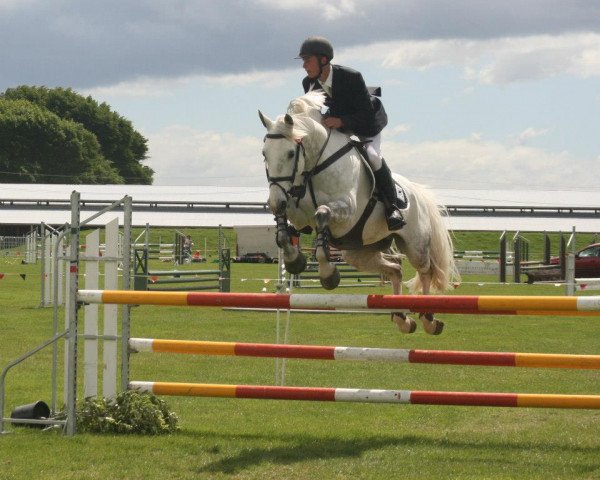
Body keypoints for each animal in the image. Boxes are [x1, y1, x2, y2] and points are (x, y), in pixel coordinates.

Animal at [258, 92, 460, 336]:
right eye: (264, 154)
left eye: (290, 153)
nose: (275, 200)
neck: (315, 167)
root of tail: (417, 192)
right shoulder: (298, 213)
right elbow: (285, 228)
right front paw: (294, 259)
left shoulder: (347, 213)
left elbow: (322, 214)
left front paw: (328, 274)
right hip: (359, 252)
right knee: (395, 269)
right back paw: (402, 318)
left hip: (415, 245)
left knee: (425, 271)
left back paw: (429, 318)